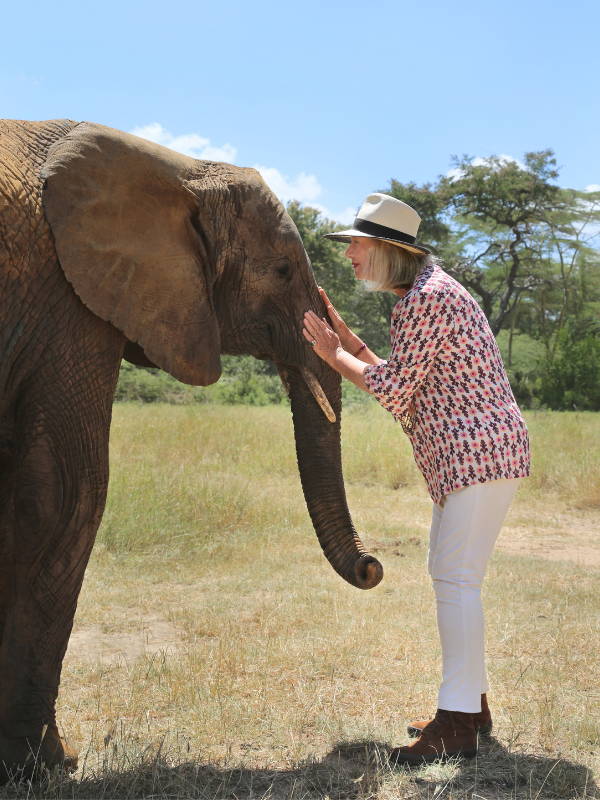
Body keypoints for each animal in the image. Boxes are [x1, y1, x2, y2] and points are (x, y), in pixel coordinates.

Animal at [0, 122, 384, 780]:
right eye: (282, 271)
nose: (373, 566)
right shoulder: (70, 301)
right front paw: (46, 765)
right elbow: (62, 496)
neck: (179, 169)